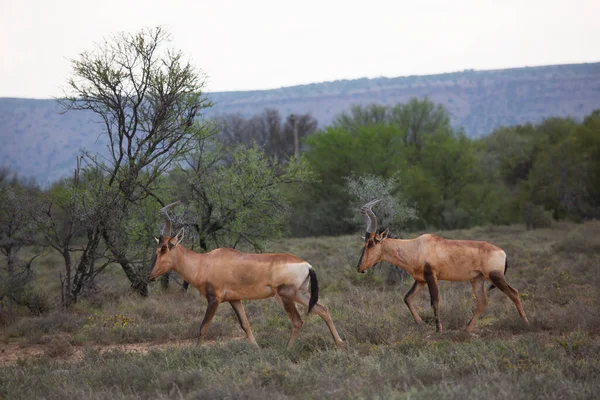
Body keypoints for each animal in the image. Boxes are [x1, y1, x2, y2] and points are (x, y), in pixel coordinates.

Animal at [148, 202, 344, 348]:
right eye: (157, 248)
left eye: (164, 248)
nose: (150, 277)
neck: (205, 261)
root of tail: (306, 264)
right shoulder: (235, 299)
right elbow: (245, 324)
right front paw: (256, 348)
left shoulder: (214, 299)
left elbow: (203, 327)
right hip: (300, 293)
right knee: (323, 309)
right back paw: (339, 343)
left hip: (286, 295)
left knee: (297, 321)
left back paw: (287, 349)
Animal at [354, 198, 528, 332]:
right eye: (364, 242)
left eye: (371, 243)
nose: (360, 268)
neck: (417, 246)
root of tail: (502, 252)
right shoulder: (421, 280)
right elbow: (407, 298)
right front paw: (422, 324)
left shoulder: (432, 277)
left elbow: (435, 301)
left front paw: (439, 329)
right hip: (477, 279)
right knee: (482, 301)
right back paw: (466, 330)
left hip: (495, 277)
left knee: (514, 293)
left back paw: (525, 323)